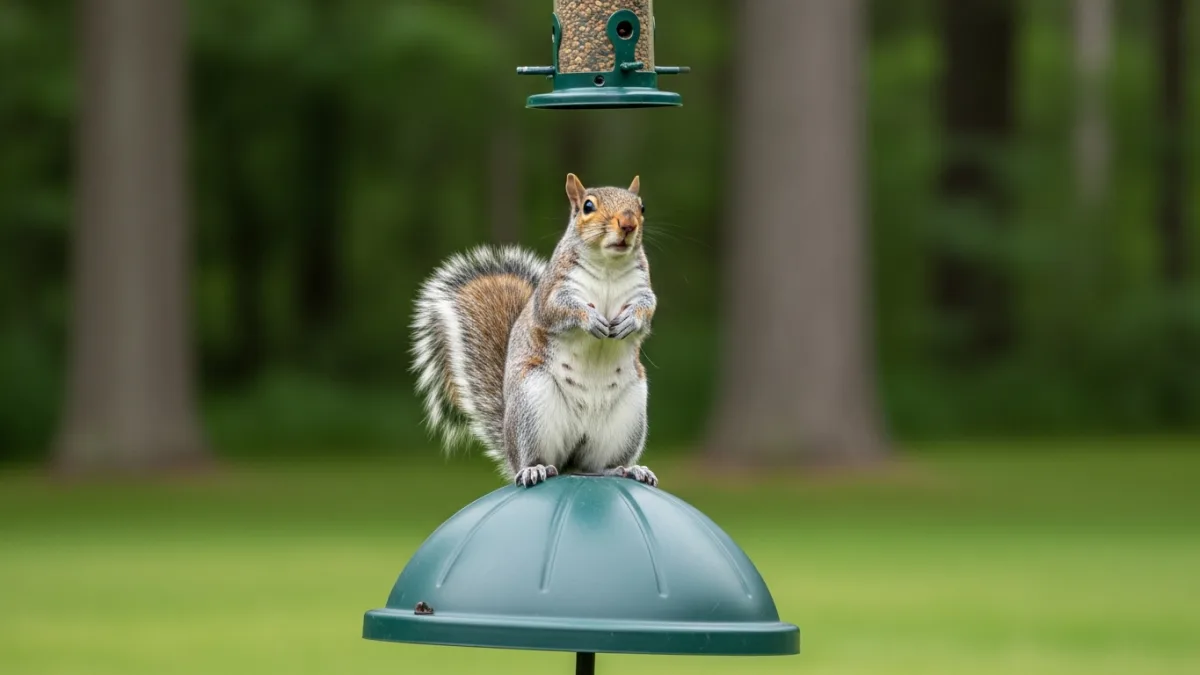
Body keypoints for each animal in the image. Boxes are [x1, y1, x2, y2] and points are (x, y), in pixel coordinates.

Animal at [410, 173, 658, 489]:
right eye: (588, 206)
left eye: (642, 207)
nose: (628, 225)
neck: (609, 266)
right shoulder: (552, 292)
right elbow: (559, 310)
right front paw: (590, 319)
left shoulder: (642, 290)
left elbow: (646, 311)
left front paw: (631, 320)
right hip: (533, 405)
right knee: (536, 459)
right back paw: (534, 469)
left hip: (627, 417)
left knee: (596, 466)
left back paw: (628, 469)